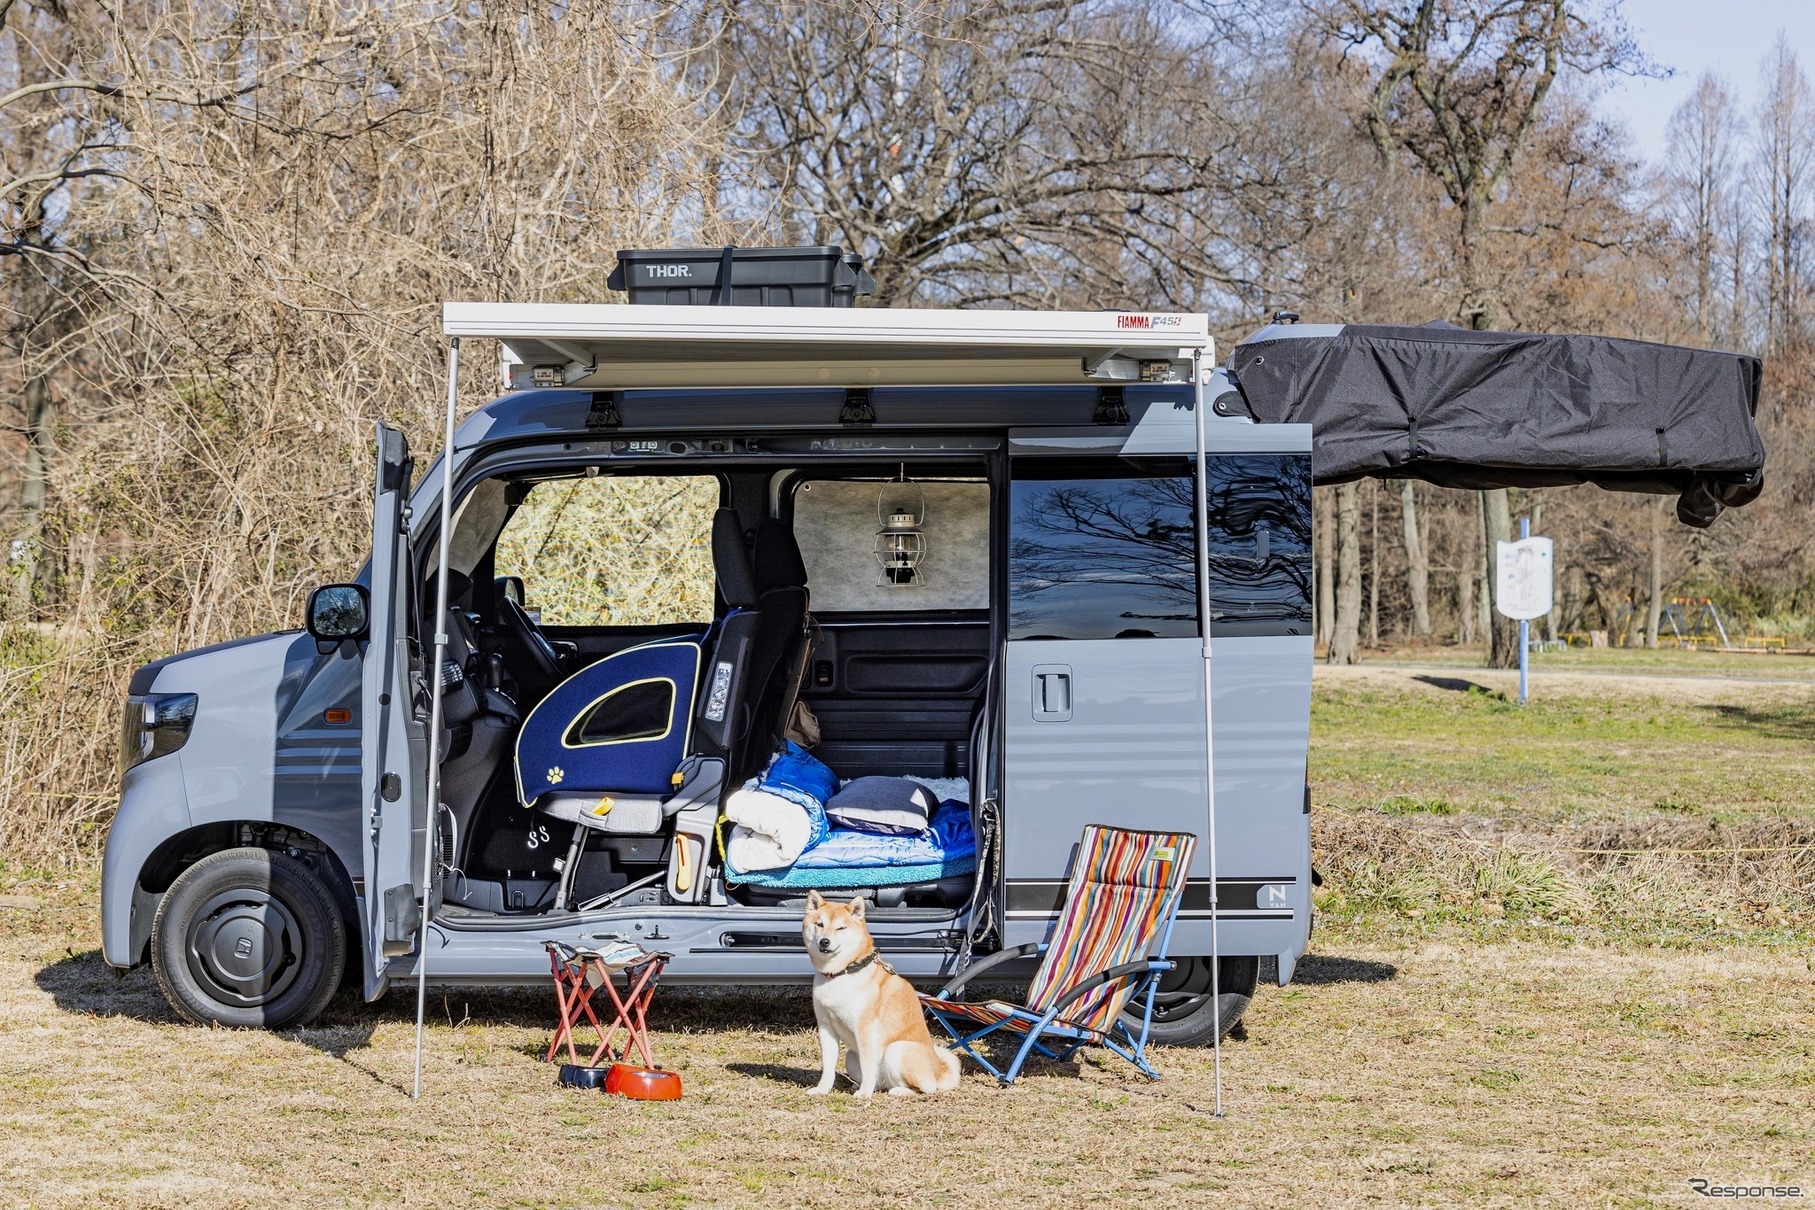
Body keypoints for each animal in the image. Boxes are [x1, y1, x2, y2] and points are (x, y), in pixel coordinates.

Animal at [798, 888, 958, 1095]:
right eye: (819, 924)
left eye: (841, 928)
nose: (825, 941)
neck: (841, 974)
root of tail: (938, 1072)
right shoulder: (826, 1026)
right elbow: (828, 1066)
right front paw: (822, 1089)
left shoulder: (864, 1029)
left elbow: (867, 1066)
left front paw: (864, 1093)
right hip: (851, 1058)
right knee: (880, 1082)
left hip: (896, 1050)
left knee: (925, 1088)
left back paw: (896, 1091)